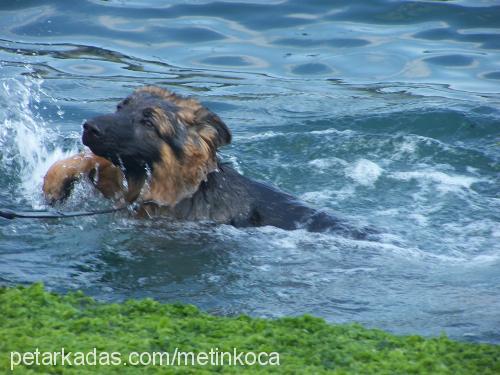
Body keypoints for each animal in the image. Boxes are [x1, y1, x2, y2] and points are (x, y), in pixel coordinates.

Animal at [44, 86, 372, 238]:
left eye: (149, 122)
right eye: (120, 108)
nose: (89, 127)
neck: (186, 192)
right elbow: (92, 162)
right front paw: (55, 179)